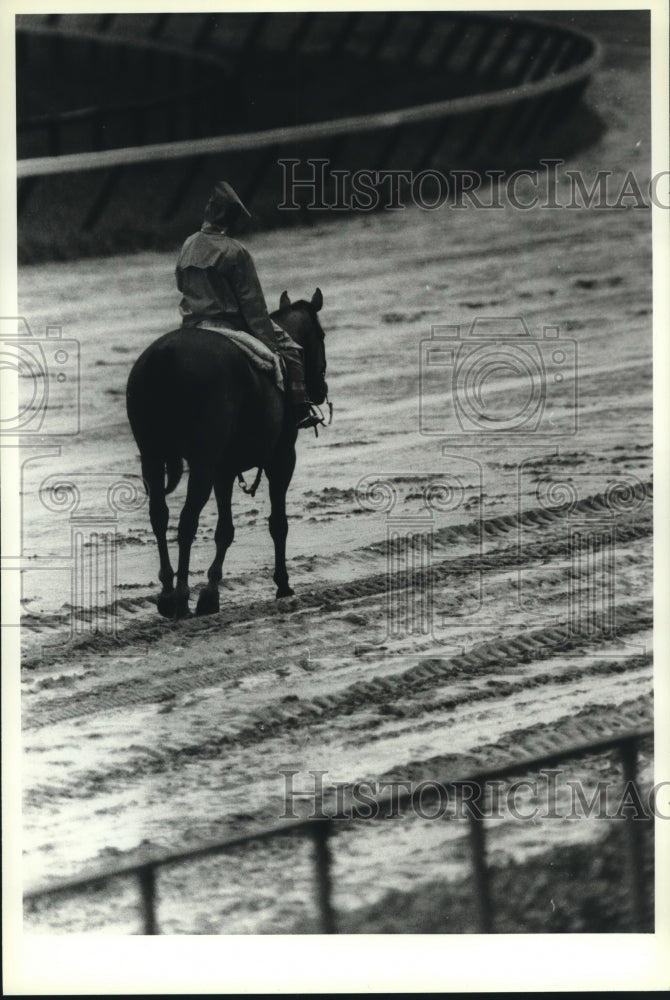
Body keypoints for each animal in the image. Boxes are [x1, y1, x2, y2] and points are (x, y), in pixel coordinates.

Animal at [127, 290, 330, 616]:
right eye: (321, 335)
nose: (321, 389)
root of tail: (164, 357)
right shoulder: (282, 458)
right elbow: (278, 523)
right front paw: (283, 584)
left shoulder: (224, 470)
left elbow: (225, 530)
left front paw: (211, 594)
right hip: (202, 461)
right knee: (187, 520)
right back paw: (181, 595)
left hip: (153, 458)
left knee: (159, 516)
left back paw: (168, 592)